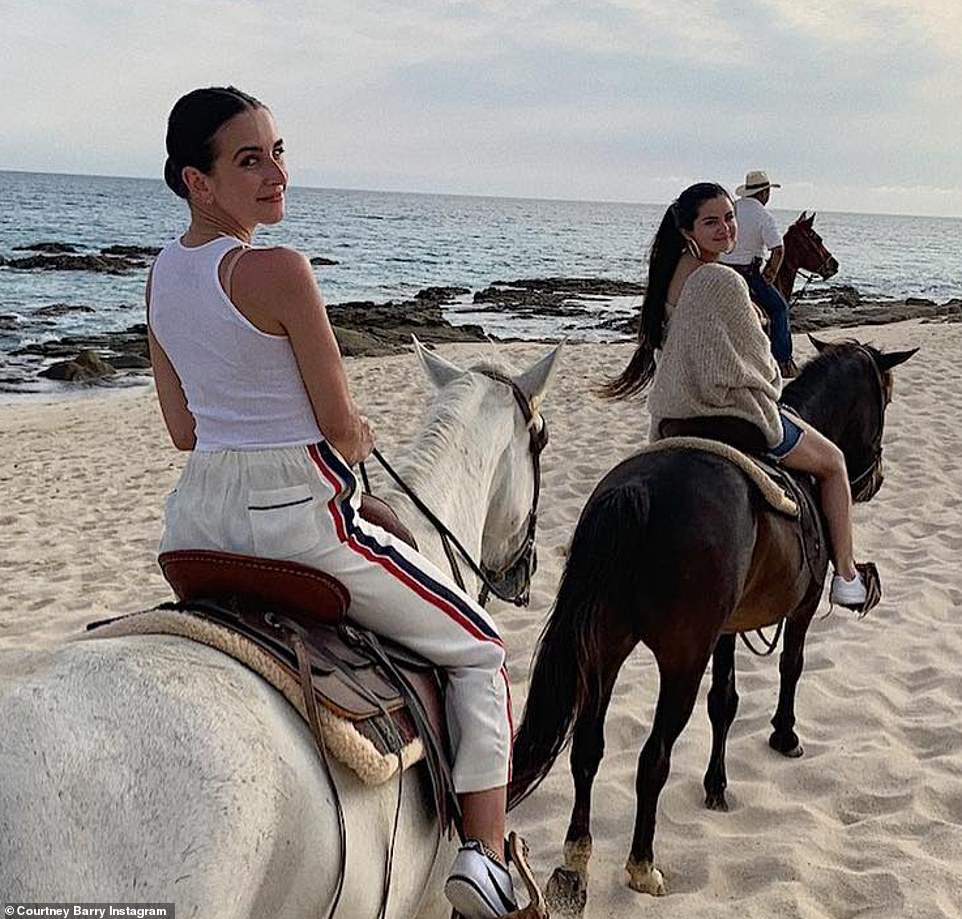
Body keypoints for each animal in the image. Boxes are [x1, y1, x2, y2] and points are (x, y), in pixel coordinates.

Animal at [506, 336, 912, 900]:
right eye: (885, 397)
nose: (873, 479)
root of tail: (639, 491)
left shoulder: (724, 630)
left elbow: (724, 701)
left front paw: (716, 786)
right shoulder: (801, 609)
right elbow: (791, 667)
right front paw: (785, 735)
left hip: (605, 647)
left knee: (587, 748)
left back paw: (577, 856)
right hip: (681, 659)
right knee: (653, 756)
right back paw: (642, 864)